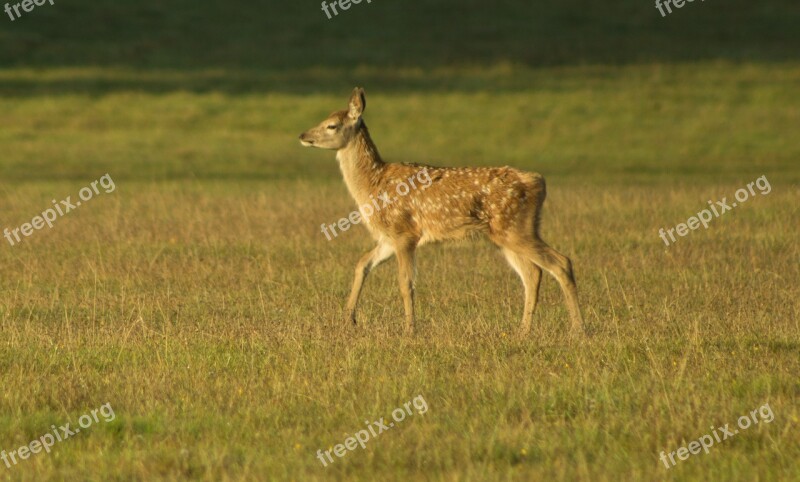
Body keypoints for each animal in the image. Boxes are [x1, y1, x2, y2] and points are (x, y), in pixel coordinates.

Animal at [296, 87, 584, 336]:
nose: (303, 135)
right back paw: (523, 331)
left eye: (332, 125)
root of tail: (539, 181)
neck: (373, 184)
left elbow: (405, 283)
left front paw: (409, 330)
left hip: (515, 228)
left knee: (560, 263)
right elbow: (362, 264)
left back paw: (578, 329)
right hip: (508, 235)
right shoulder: (388, 238)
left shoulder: (404, 231)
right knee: (533, 274)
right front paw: (348, 320)